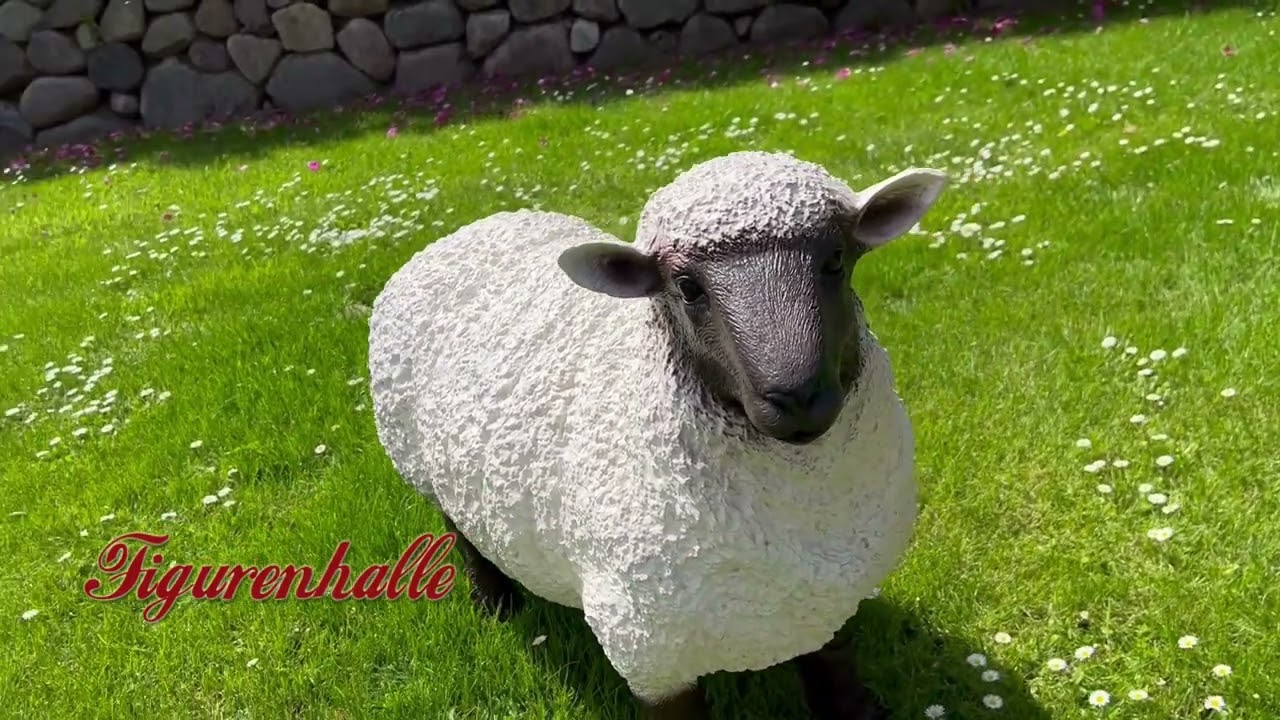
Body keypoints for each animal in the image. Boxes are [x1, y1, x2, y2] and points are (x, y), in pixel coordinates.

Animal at [367, 150, 948, 720]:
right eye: (687, 289)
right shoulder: (648, 647)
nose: (798, 396)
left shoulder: (832, 602)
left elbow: (835, 671)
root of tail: (466, 231)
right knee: (463, 535)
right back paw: (496, 608)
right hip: (425, 468)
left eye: (836, 261)